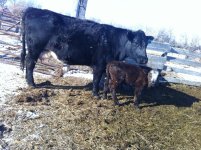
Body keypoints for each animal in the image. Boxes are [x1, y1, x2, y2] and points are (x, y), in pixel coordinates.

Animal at [20, 7, 153, 98]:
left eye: (146, 44)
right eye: (136, 43)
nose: (144, 59)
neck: (114, 41)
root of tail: (32, 9)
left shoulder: (106, 65)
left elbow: (105, 80)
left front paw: (105, 94)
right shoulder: (99, 64)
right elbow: (96, 79)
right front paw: (96, 94)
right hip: (35, 48)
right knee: (30, 63)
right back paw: (31, 83)